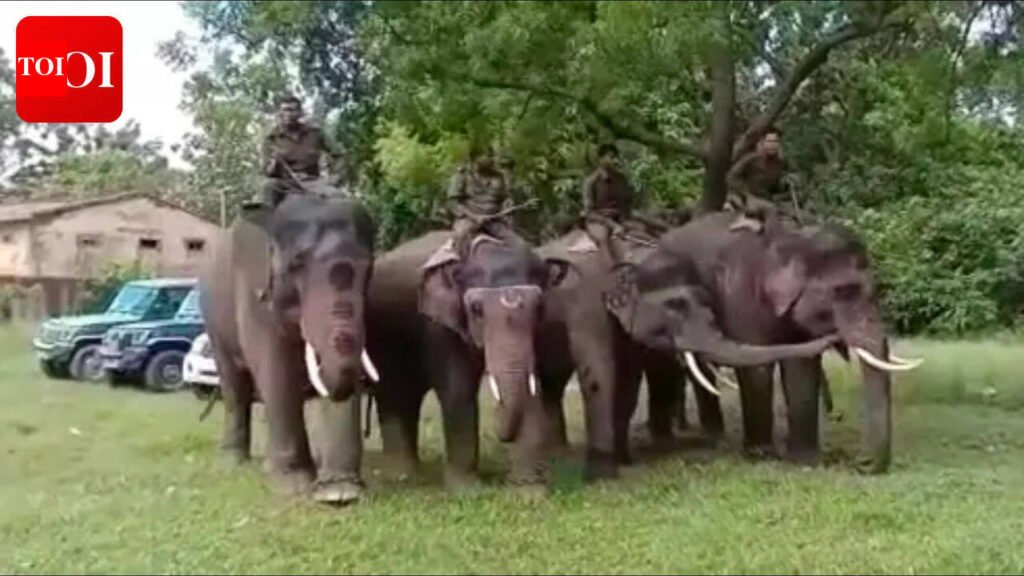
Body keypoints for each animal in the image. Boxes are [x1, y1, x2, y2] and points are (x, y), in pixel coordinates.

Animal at [200, 194, 378, 504]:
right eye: (297, 264)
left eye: (369, 268)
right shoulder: (254, 294)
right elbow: (276, 371)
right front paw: (293, 486)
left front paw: (340, 493)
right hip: (215, 323)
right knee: (234, 386)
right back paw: (233, 464)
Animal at [367, 230, 566, 488]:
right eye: (476, 309)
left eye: (539, 306)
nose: (499, 429)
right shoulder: (439, 324)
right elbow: (457, 389)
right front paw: (469, 490)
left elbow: (532, 386)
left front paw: (530, 491)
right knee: (395, 395)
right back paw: (403, 478)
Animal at [534, 228, 841, 480]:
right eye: (676, 306)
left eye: (707, 300)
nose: (834, 337)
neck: (629, 255)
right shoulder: (587, 308)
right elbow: (600, 374)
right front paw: (606, 473)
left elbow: (629, 383)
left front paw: (625, 460)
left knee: (553, 384)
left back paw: (557, 450)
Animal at [638, 211, 922, 473]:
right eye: (842, 291)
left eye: (877, 289)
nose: (862, 463)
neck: (794, 239)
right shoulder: (743, 297)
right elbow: (757, 369)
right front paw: (760, 455)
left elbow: (802, 368)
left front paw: (805, 460)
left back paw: (714, 435)